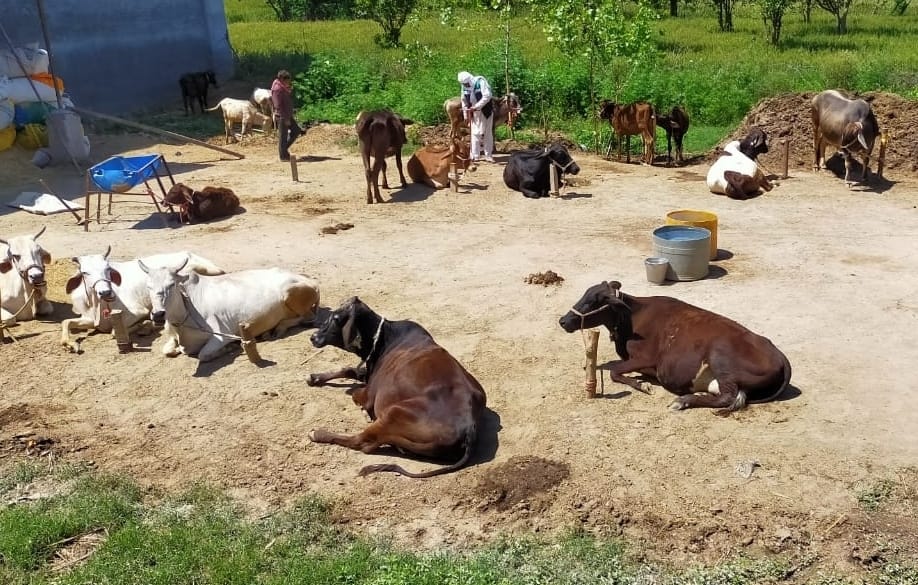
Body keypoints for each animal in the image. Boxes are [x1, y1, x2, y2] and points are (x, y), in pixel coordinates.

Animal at [61, 250, 225, 353]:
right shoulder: (88, 319)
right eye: (84, 272)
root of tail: (187, 253)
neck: (98, 306)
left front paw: (144, 325)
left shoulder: (139, 311)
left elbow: (114, 332)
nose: (105, 292)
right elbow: (66, 322)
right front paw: (71, 345)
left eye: (108, 268)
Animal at [139, 260, 320, 361]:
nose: (158, 315)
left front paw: (229, 349)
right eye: (148, 286)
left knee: (308, 317)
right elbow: (167, 351)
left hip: (290, 294)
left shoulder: (221, 335)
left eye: (172, 284)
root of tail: (311, 282)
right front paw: (175, 349)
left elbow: (203, 355)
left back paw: (278, 328)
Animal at [306, 297, 486, 478]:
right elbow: (349, 369)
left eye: (335, 318)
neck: (383, 340)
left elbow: (354, 392)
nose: (313, 337)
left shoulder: (369, 393)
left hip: (393, 412)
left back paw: (317, 433)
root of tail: (469, 427)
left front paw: (363, 410)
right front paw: (314, 377)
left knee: (361, 442)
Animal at [559, 280, 791, 415]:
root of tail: (780, 355)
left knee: (727, 397)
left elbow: (614, 372)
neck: (631, 318)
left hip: (720, 357)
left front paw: (643, 385)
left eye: (592, 301)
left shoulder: (646, 359)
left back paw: (682, 401)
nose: (563, 321)